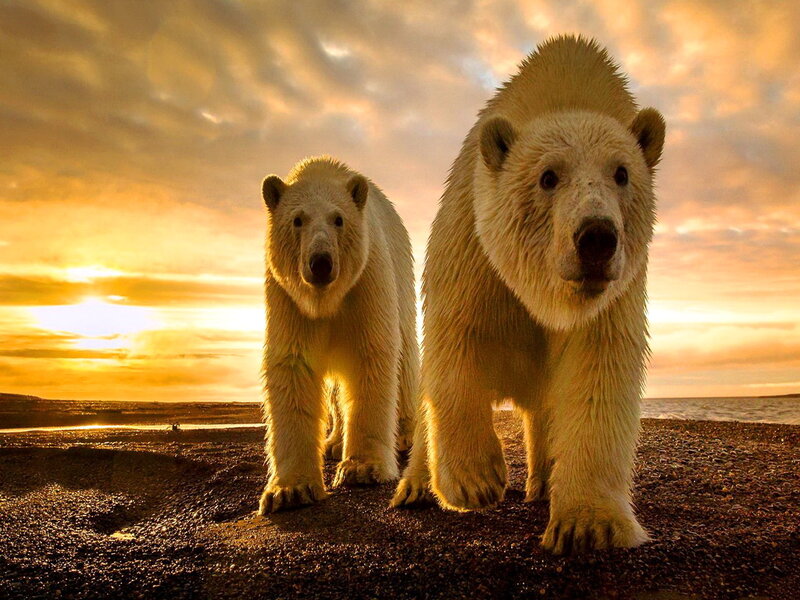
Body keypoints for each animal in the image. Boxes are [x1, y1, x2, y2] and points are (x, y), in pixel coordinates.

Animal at [258, 156, 419, 514]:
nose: (321, 262)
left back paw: (405, 434)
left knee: (405, 359)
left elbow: (371, 353)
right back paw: (333, 442)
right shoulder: (288, 298)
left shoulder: (367, 279)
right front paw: (290, 489)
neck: (326, 300)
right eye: (297, 219)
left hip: (402, 278)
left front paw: (362, 468)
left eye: (339, 219)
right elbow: (293, 365)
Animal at [391, 35, 665, 555]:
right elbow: (456, 336)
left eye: (621, 173)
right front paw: (475, 480)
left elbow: (599, 370)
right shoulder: (473, 242)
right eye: (548, 176)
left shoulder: (614, 293)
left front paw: (587, 525)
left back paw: (541, 481)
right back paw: (415, 485)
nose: (596, 238)